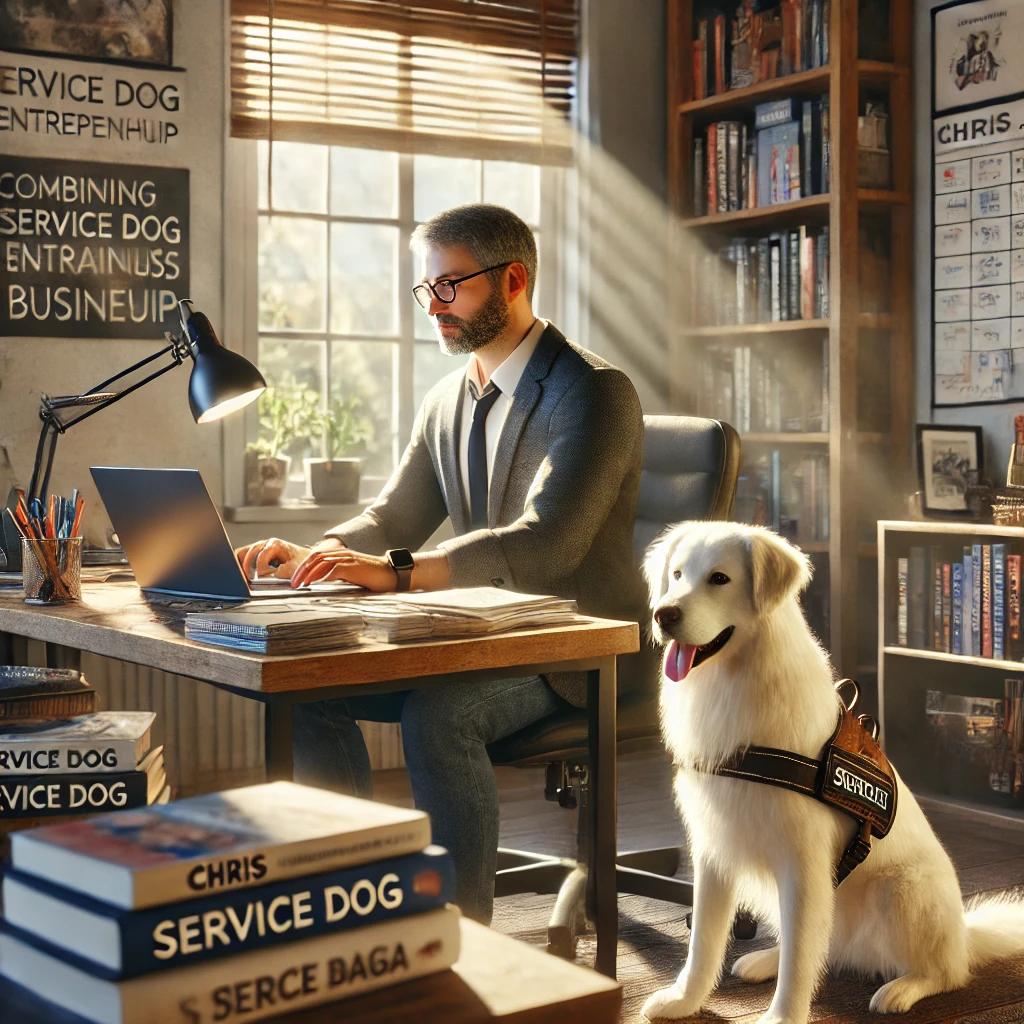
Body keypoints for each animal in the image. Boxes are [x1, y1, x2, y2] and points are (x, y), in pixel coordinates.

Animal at [638, 520, 1024, 1024]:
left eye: (719, 579)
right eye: (677, 575)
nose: (664, 614)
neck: (733, 682)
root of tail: (963, 935)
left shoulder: (802, 864)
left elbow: (800, 959)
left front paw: (782, 1017)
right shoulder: (714, 851)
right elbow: (704, 941)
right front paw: (684, 1000)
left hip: (900, 890)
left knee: (943, 972)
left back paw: (902, 989)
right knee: (826, 950)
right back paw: (765, 959)